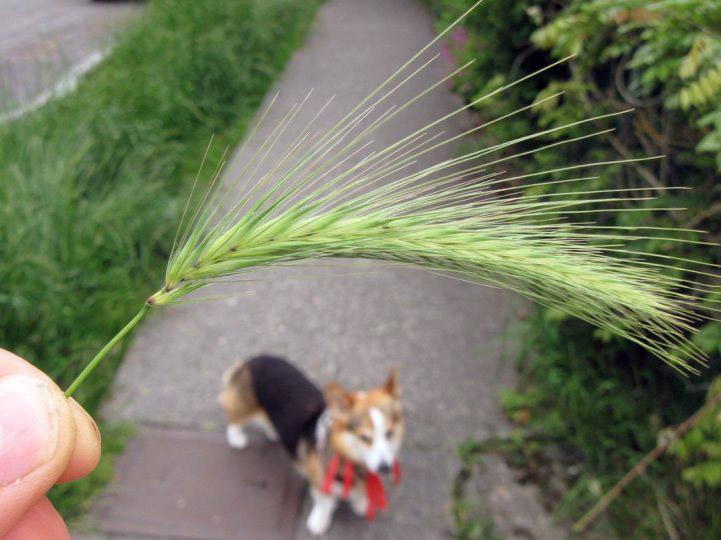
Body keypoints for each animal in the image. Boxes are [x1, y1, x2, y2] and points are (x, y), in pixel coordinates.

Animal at [217, 354, 402, 536]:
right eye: (364, 437)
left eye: (389, 433)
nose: (385, 468)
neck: (349, 458)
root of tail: (249, 360)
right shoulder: (319, 481)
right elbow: (324, 502)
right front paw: (319, 521)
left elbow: (361, 492)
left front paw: (361, 503)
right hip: (244, 406)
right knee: (234, 419)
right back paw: (236, 438)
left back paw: (272, 432)